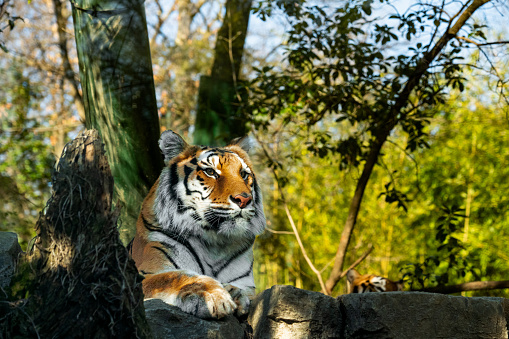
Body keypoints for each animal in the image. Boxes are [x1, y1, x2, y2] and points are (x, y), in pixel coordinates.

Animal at [128, 129, 266, 320]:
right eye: (210, 172)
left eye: (243, 174)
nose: (244, 199)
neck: (215, 241)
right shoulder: (144, 274)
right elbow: (176, 276)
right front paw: (211, 296)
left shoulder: (246, 282)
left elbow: (246, 291)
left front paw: (237, 295)